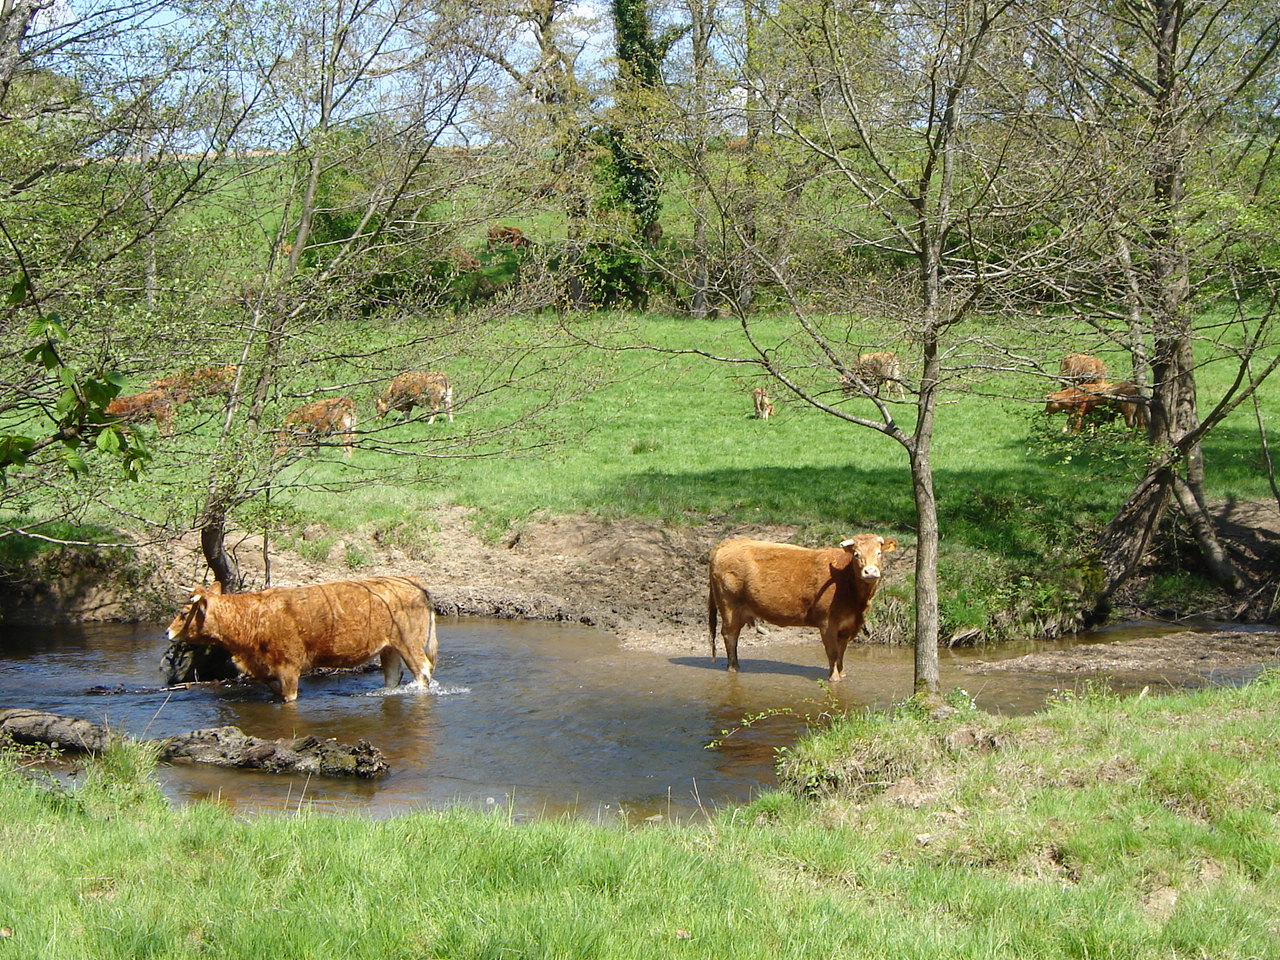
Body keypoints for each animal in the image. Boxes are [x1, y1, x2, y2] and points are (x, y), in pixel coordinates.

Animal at [166, 576, 439, 702]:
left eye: (183, 613)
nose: (167, 631)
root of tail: (412, 583)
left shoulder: (288, 667)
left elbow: (289, 698)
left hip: (410, 644)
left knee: (422, 673)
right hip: (389, 648)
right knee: (393, 676)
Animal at [708, 534, 898, 681]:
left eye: (879, 553)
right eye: (857, 554)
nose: (870, 572)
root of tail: (727, 543)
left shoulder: (848, 626)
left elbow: (841, 653)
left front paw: (842, 674)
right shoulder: (827, 623)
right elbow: (832, 652)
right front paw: (834, 678)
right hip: (729, 606)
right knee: (730, 635)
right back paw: (734, 668)